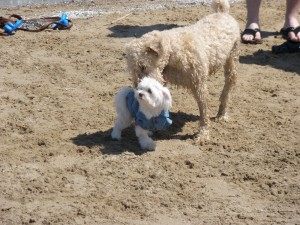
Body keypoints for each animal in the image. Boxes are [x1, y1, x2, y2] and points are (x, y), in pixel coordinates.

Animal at [124, 0, 239, 141]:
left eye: (143, 66)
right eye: (133, 71)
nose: (137, 90)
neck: (174, 51)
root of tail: (222, 12)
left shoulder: (199, 83)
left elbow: (204, 109)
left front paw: (203, 133)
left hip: (232, 59)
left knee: (228, 87)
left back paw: (222, 114)